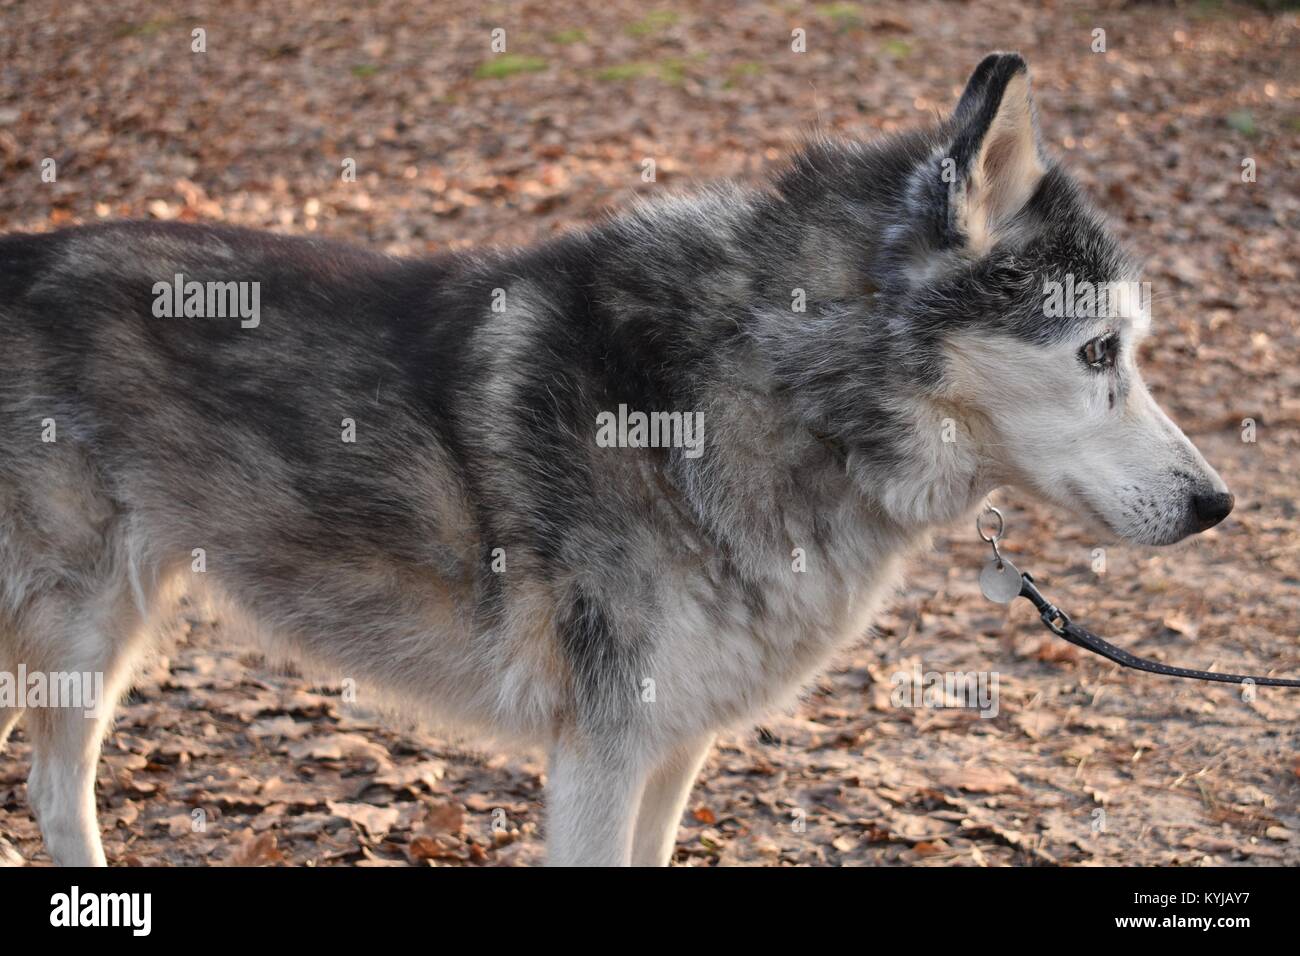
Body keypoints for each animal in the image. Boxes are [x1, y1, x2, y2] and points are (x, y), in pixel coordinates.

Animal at [0, 55, 1227, 868]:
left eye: (1133, 349)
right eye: (1100, 351)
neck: (767, 393)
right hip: (78, 637)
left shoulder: (672, 749)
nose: (1216, 502)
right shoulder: (599, 753)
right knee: (53, 790)